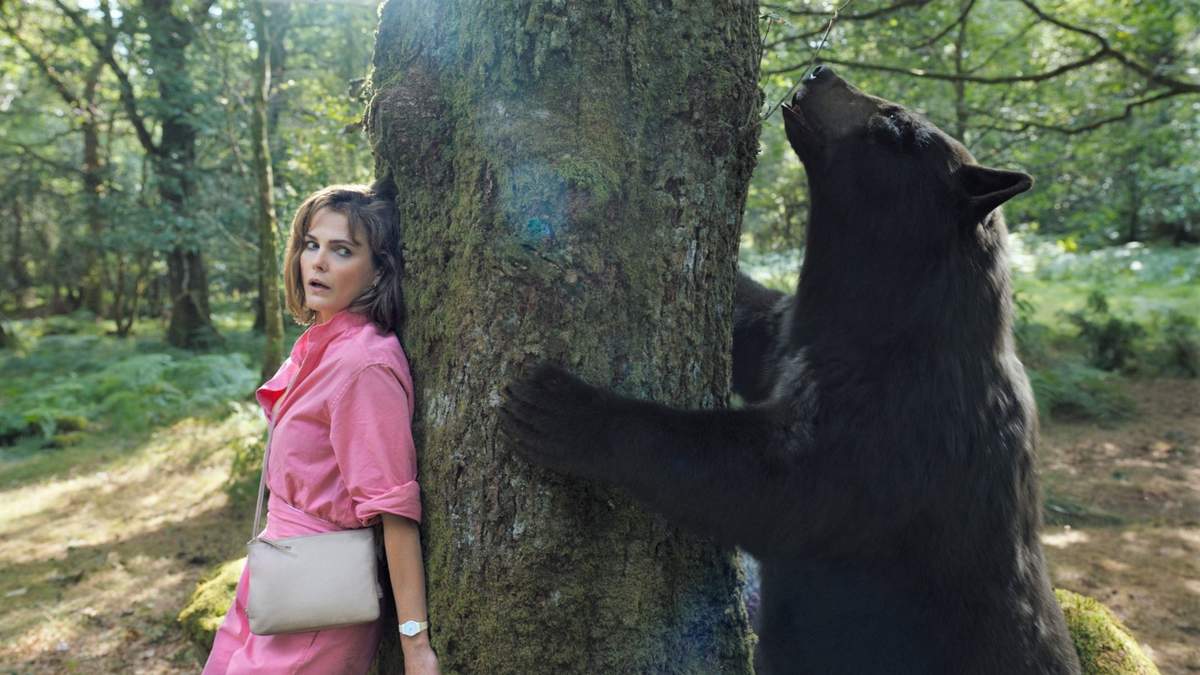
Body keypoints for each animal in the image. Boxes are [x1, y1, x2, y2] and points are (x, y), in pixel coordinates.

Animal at [500, 65, 1081, 674]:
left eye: (893, 125)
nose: (822, 70)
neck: (888, 321)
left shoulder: (903, 425)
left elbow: (773, 485)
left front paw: (565, 410)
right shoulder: (795, 336)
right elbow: (755, 326)